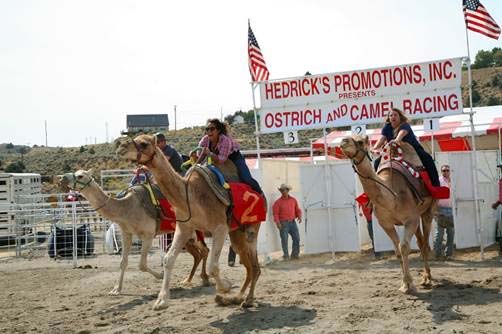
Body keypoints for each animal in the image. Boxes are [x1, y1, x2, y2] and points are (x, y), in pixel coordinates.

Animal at [58, 170, 210, 294]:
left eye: (80, 175)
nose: (62, 178)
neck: (126, 207)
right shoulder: (126, 233)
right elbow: (123, 262)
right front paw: (116, 289)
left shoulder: (148, 235)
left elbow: (141, 265)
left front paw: (161, 275)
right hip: (187, 234)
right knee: (198, 254)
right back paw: (188, 280)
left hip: (195, 229)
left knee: (204, 250)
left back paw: (204, 279)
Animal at [115, 134, 260, 310]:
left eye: (143, 143)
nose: (121, 147)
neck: (190, 196)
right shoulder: (184, 227)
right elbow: (168, 259)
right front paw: (161, 300)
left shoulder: (220, 227)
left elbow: (212, 266)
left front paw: (225, 286)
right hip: (236, 232)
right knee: (247, 262)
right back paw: (240, 298)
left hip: (251, 226)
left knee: (253, 264)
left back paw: (247, 299)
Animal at [342, 134, 436, 294]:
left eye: (360, 141)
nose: (343, 141)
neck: (392, 196)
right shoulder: (386, 224)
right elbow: (397, 250)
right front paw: (404, 283)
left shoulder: (410, 220)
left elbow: (404, 247)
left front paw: (409, 285)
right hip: (417, 216)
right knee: (420, 241)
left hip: (428, 210)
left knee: (425, 243)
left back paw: (427, 278)